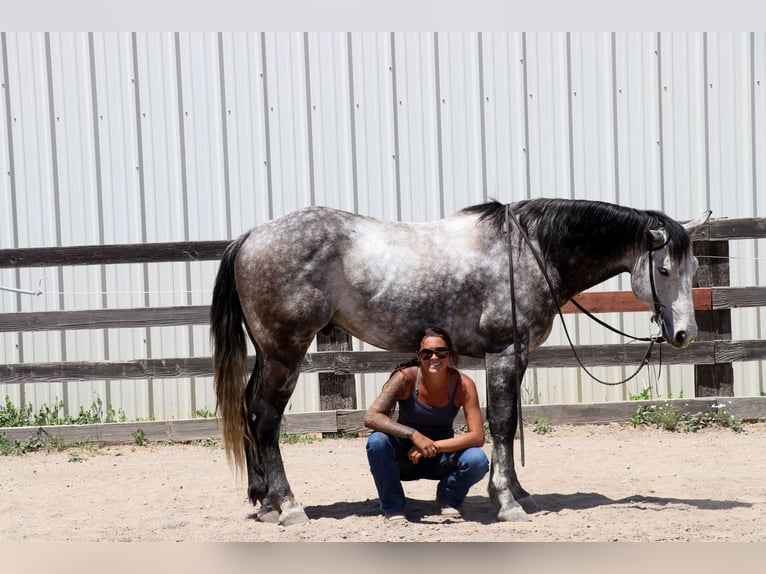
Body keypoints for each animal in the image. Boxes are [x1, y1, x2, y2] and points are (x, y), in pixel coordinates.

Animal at [210, 197, 712, 528]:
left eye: (693, 269)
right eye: (664, 269)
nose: (685, 334)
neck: (528, 251)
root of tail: (252, 235)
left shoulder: (518, 356)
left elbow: (507, 423)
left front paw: (517, 491)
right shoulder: (504, 352)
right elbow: (502, 422)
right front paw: (508, 502)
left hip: (269, 353)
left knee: (249, 410)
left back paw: (264, 500)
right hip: (285, 353)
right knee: (266, 418)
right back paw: (289, 505)